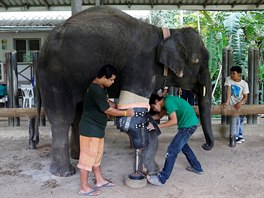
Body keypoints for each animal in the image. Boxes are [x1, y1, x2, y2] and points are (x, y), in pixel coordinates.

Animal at [35, 5, 213, 176]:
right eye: (197, 61)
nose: (205, 145)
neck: (166, 32)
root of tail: (41, 51)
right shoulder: (141, 67)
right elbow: (138, 116)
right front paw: (152, 170)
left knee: (78, 115)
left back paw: (78, 157)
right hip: (55, 77)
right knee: (62, 117)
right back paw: (64, 172)